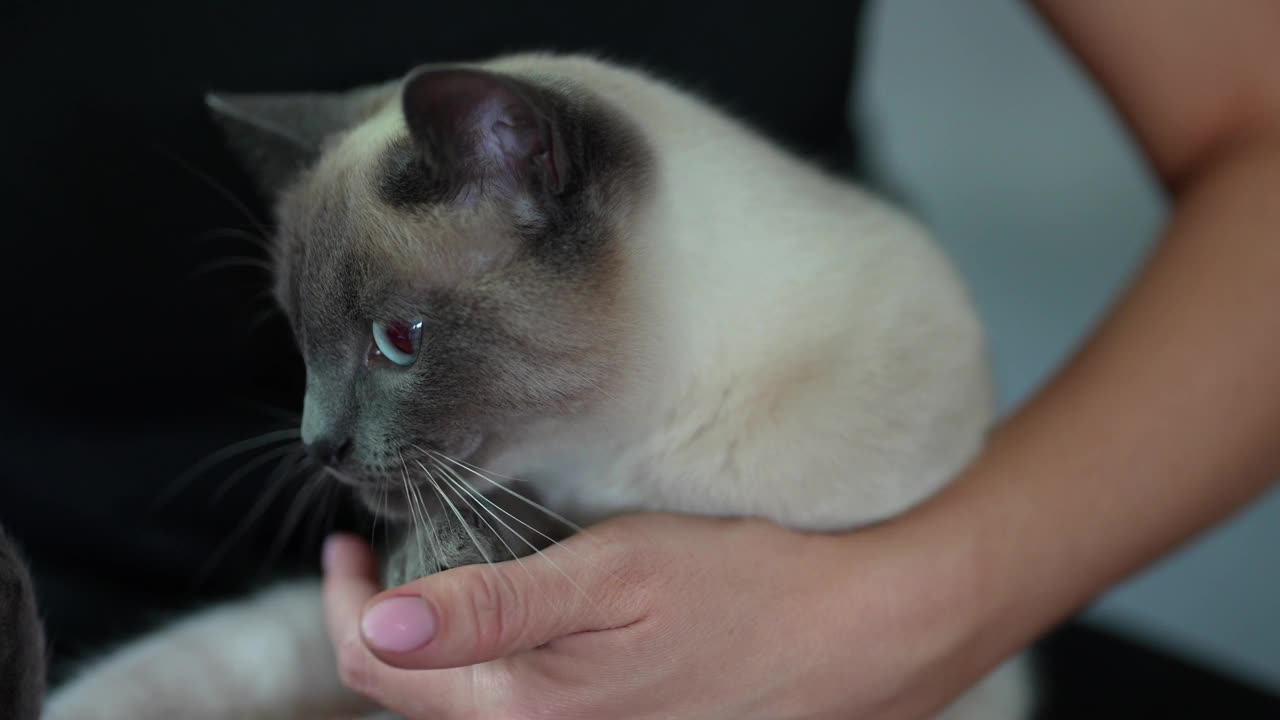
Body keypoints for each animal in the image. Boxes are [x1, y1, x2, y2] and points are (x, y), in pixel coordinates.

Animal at [20, 53, 1034, 712]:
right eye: (302, 342)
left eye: (397, 340)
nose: (318, 444)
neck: (612, 463)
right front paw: (434, 549)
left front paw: (445, 549)